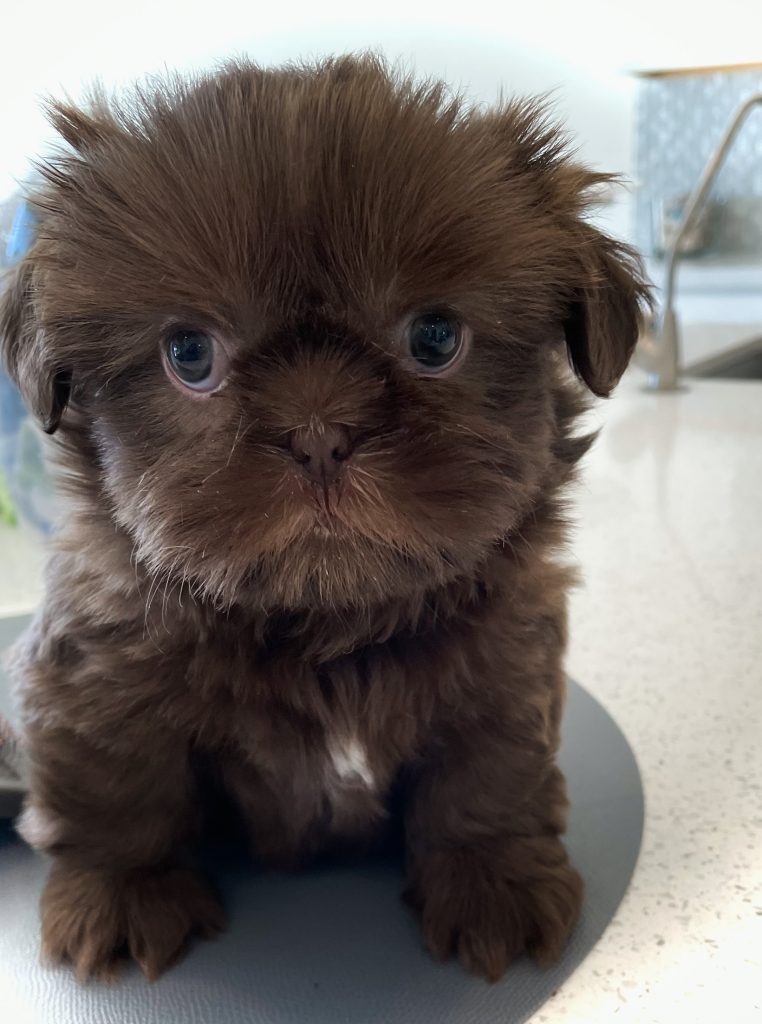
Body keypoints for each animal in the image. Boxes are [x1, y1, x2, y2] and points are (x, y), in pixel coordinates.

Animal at [0, 58, 647, 983]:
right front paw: (125, 893)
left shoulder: (507, 663)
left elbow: (489, 771)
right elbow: (117, 783)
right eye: (189, 353)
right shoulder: (94, 672)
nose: (318, 433)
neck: (325, 626)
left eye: (435, 337)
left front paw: (491, 879)